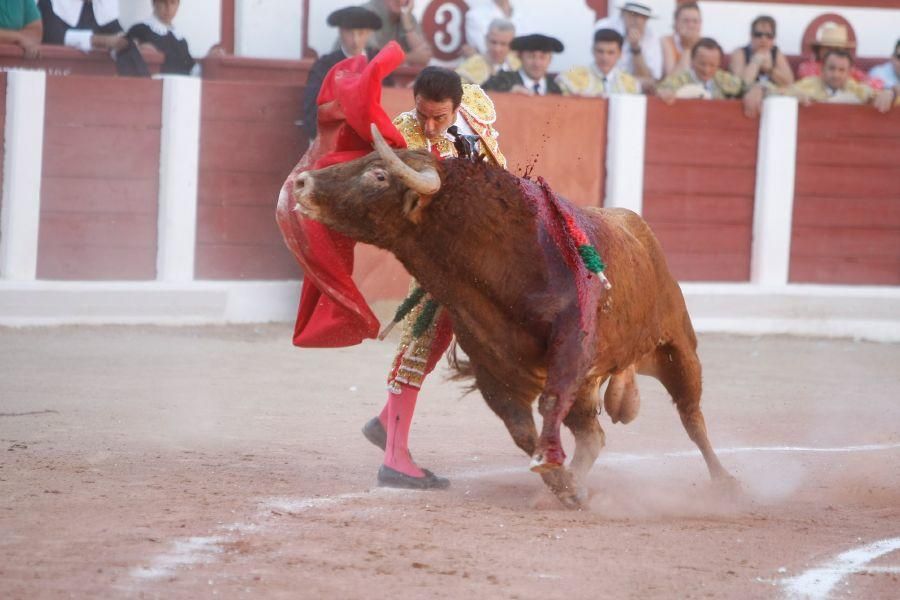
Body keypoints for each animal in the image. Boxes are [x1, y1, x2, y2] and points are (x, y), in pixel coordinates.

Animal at [290, 125, 740, 506]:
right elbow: (522, 430)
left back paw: (726, 482)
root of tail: (639, 227)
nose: (300, 183)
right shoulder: (493, 368)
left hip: (678, 346)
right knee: (593, 436)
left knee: (692, 416)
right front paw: (563, 484)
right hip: (595, 381)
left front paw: (555, 471)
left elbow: (548, 404)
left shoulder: (572, 346)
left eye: (379, 175)